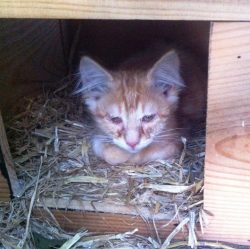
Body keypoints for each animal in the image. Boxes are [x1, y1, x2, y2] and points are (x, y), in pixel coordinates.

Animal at [77, 46, 206, 165]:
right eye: (115, 119)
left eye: (148, 118)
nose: (132, 143)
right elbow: (100, 146)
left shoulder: (176, 137)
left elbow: (136, 155)